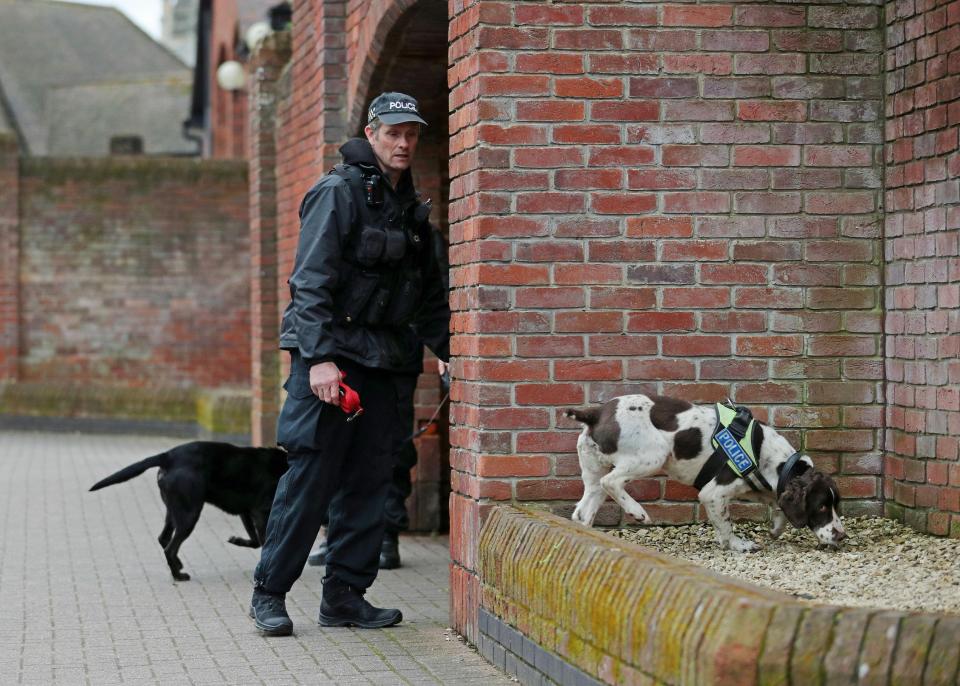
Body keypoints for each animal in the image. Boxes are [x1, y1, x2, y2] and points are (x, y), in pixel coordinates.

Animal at [88, 444, 286, 584]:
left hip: (174, 511)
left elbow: (255, 541)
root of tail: (168, 457)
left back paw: (177, 565)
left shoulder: (246, 512)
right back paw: (178, 575)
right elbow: (263, 542)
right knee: (170, 547)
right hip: (189, 515)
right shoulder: (259, 513)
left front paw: (237, 540)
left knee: (163, 538)